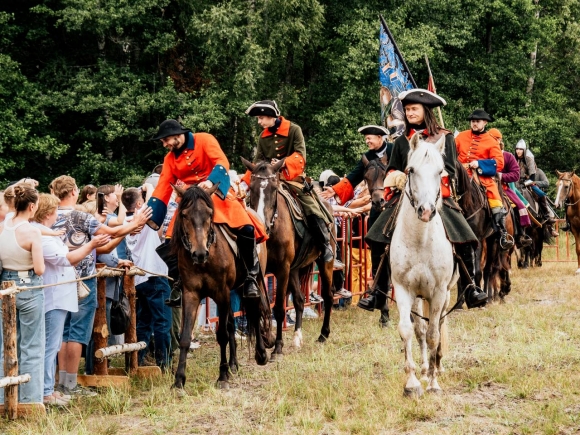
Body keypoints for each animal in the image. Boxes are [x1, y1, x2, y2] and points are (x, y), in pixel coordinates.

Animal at [171, 186, 274, 390]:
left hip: (255, 281)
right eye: (184, 215)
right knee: (232, 323)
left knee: (255, 311)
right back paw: (233, 364)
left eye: (210, 214)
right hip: (234, 289)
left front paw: (222, 376)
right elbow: (185, 337)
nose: (199, 253)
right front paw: (179, 380)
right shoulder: (191, 294)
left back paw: (260, 354)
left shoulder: (222, 293)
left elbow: (222, 335)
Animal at [241, 158, 336, 360]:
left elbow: (278, 308)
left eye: (273, 188)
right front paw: (266, 340)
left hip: (325, 263)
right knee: (299, 300)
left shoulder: (282, 270)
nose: (261, 226)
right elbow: (262, 306)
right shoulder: (261, 274)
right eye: (251, 188)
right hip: (294, 269)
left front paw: (277, 346)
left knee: (328, 295)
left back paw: (323, 334)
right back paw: (297, 337)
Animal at [392, 133, 460, 398]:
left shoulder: (439, 291)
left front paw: (433, 383)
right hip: (419, 297)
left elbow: (433, 335)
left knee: (438, 324)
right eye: (411, 170)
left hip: (445, 294)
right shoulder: (403, 289)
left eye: (440, 171)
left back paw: (436, 366)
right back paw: (423, 368)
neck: (420, 240)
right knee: (420, 328)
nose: (426, 211)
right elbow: (407, 330)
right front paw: (412, 382)